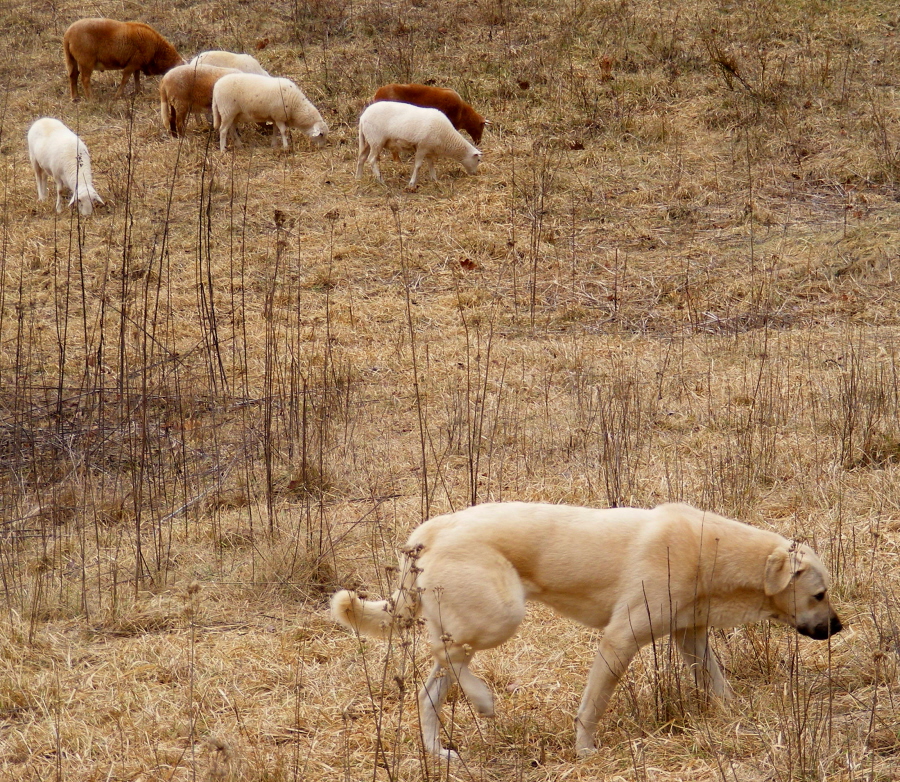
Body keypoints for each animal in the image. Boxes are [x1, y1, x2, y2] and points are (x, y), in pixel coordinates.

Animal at [332, 506, 844, 764]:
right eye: (819, 594)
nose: (839, 627)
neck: (710, 553)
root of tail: (428, 530)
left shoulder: (690, 638)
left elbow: (718, 685)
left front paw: (737, 716)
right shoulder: (620, 639)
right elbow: (591, 708)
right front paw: (585, 753)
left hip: (470, 626)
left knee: (429, 686)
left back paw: (438, 751)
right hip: (502, 616)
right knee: (443, 654)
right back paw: (482, 701)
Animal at [356, 100, 486, 189]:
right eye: (478, 160)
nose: (474, 174)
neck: (447, 138)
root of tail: (363, 117)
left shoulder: (429, 149)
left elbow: (431, 165)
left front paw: (435, 179)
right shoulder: (422, 147)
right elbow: (418, 165)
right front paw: (412, 183)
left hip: (367, 140)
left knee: (361, 158)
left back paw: (359, 178)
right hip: (376, 140)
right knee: (372, 159)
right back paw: (380, 180)